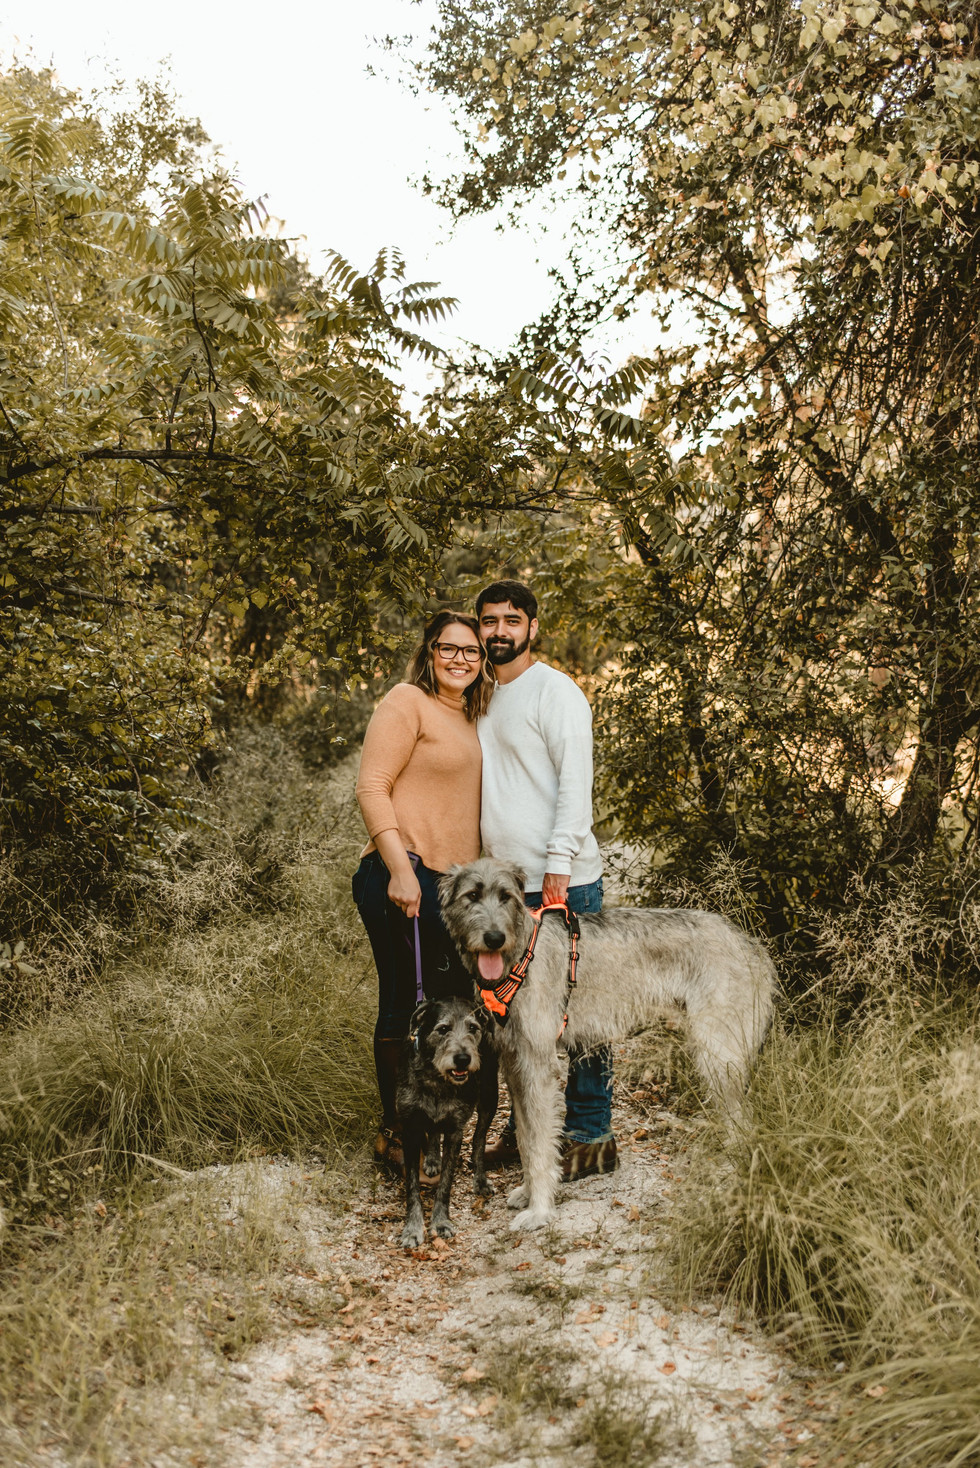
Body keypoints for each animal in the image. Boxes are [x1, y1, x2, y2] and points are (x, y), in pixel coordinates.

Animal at [395, 996, 497, 1249]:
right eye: (442, 1029)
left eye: (473, 1028)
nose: (463, 1059)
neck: (437, 1080)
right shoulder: (410, 1128)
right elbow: (412, 1186)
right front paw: (412, 1228)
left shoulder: (455, 1130)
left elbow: (446, 1184)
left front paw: (440, 1222)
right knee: (433, 1132)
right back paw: (432, 1159)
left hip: (490, 1097)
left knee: (479, 1139)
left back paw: (480, 1179)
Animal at [439, 858, 775, 1232]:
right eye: (472, 896)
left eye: (506, 896)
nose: (494, 938)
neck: (520, 953)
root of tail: (751, 944)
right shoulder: (515, 1066)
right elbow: (526, 1138)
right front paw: (528, 1193)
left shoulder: (538, 1068)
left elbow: (540, 1143)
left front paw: (540, 1209)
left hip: (719, 1055)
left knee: (743, 1122)